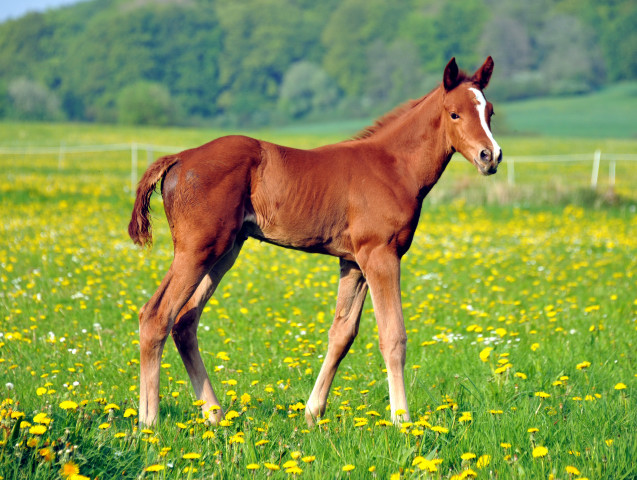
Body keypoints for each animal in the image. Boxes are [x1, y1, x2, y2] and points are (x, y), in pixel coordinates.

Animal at [129, 56, 502, 428]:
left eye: (490, 112)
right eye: (454, 114)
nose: (491, 156)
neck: (393, 167)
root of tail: (179, 158)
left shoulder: (353, 262)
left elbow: (342, 334)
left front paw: (312, 413)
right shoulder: (381, 255)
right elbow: (393, 336)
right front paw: (402, 420)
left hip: (224, 252)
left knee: (184, 321)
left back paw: (214, 414)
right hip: (198, 250)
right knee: (157, 315)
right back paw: (149, 422)